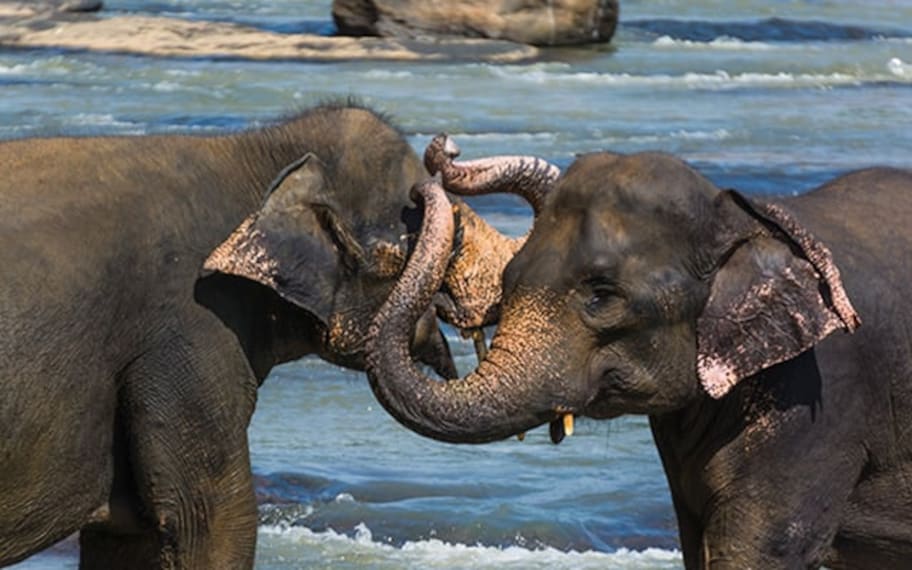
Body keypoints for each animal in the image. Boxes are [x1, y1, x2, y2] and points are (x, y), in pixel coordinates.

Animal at [0, 107, 521, 569]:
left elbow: (130, 543)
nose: (447, 147)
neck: (256, 150)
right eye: (430, 244)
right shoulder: (191, 328)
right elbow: (214, 528)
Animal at [365, 139, 912, 569]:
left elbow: (761, 550)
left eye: (602, 295)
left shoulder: (822, 397)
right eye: (508, 279)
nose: (419, 189)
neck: (744, 214)